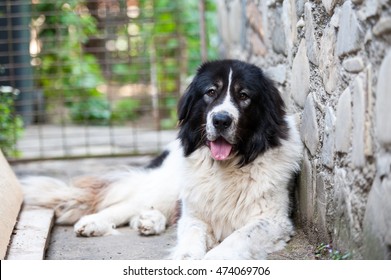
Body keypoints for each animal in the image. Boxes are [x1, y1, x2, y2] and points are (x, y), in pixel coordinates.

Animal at [20, 60, 304, 260]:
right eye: (210, 92)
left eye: (243, 95)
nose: (221, 120)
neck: (228, 167)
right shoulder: (195, 214)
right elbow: (191, 235)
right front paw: (187, 258)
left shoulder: (273, 221)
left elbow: (239, 237)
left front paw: (214, 259)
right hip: (170, 182)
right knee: (130, 204)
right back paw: (95, 222)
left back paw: (148, 221)